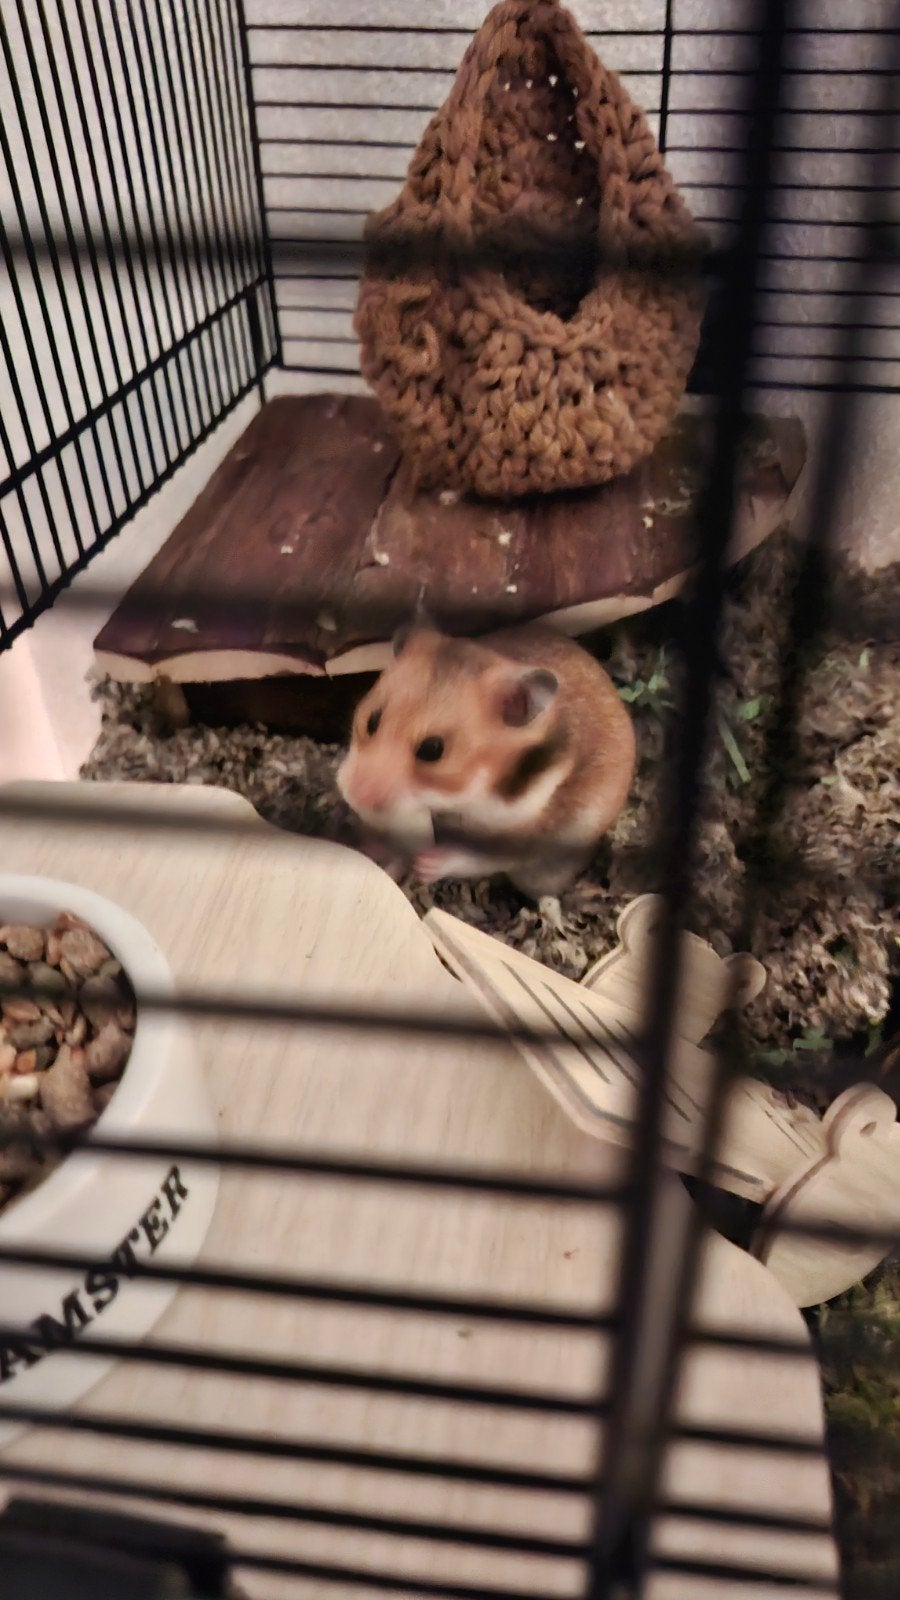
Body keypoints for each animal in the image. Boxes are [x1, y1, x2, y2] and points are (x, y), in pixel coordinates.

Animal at [336, 621, 636, 898]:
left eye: (433, 749)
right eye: (372, 720)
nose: (354, 795)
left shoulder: (530, 833)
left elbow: (480, 858)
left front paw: (424, 864)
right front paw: (371, 847)